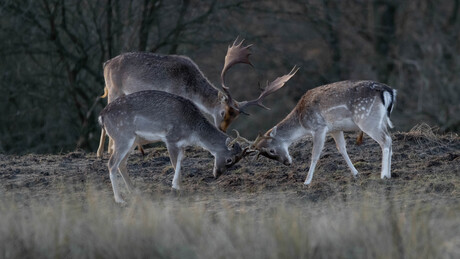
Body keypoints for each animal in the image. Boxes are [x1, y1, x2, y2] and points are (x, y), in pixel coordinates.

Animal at [97, 37, 298, 157]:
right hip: (114, 89)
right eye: (223, 113)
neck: (189, 87)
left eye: (235, 118)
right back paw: (103, 152)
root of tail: (106, 64)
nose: (222, 130)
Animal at [98, 90, 253, 204]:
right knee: (112, 163)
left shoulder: (181, 144)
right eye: (229, 160)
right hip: (122, 137)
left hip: (132, 141)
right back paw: (120, 200)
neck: (192, 131)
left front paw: (179, 186)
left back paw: (134, 191)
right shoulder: (170, 138)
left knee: (121, 163)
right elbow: (174, 162)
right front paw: (176, 188)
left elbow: (180, 160)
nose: (217, 174)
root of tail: (102, 116)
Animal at [253, 81, 398, 185]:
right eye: (267, 155)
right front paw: (356, 174)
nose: (287, 163)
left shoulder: (319, 127)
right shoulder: (335, 129)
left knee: (385, 141)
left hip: (367, 120)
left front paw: (306, 181)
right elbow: (342, 149)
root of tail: (388, 91)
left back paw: (384, 175)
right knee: (390, 139)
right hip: (380, 121)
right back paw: (389, 174)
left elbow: (315, 154)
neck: (302, 122)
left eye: (271, 150)